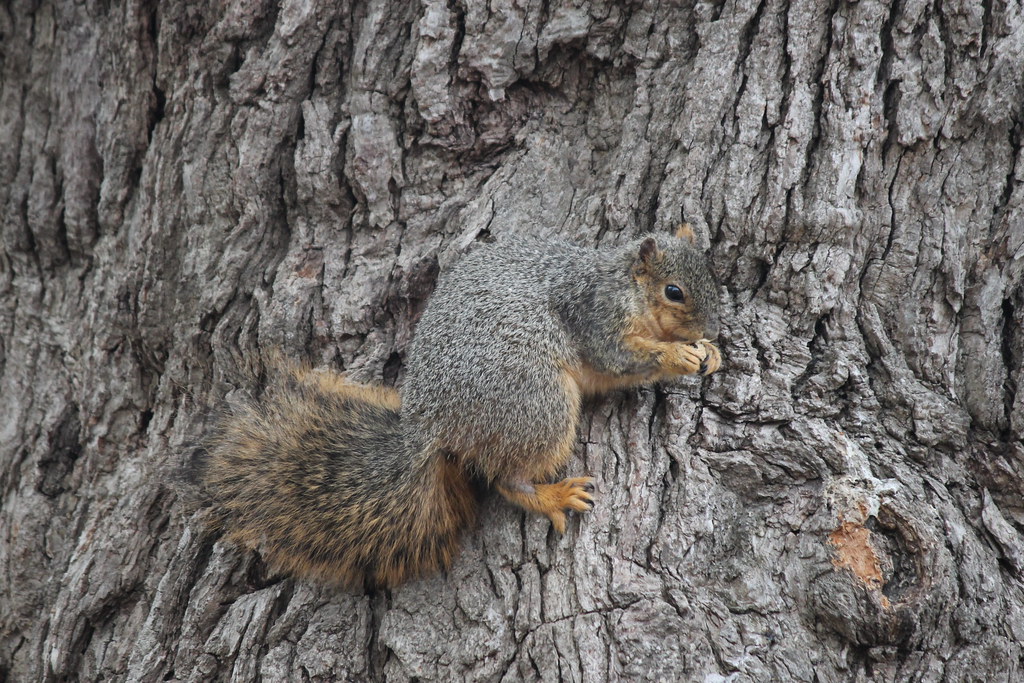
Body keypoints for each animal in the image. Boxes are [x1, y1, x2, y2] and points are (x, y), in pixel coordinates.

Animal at [192, 224, 722, 589]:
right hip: (536, 402)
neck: (623, 282)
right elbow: (620, 356)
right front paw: (678, 354)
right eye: (674, 291)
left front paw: (710, 353)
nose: (713, 327)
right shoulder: (596, 314)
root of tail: (430, 427)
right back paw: (552, 496)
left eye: (714, 278)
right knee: (507, 478)